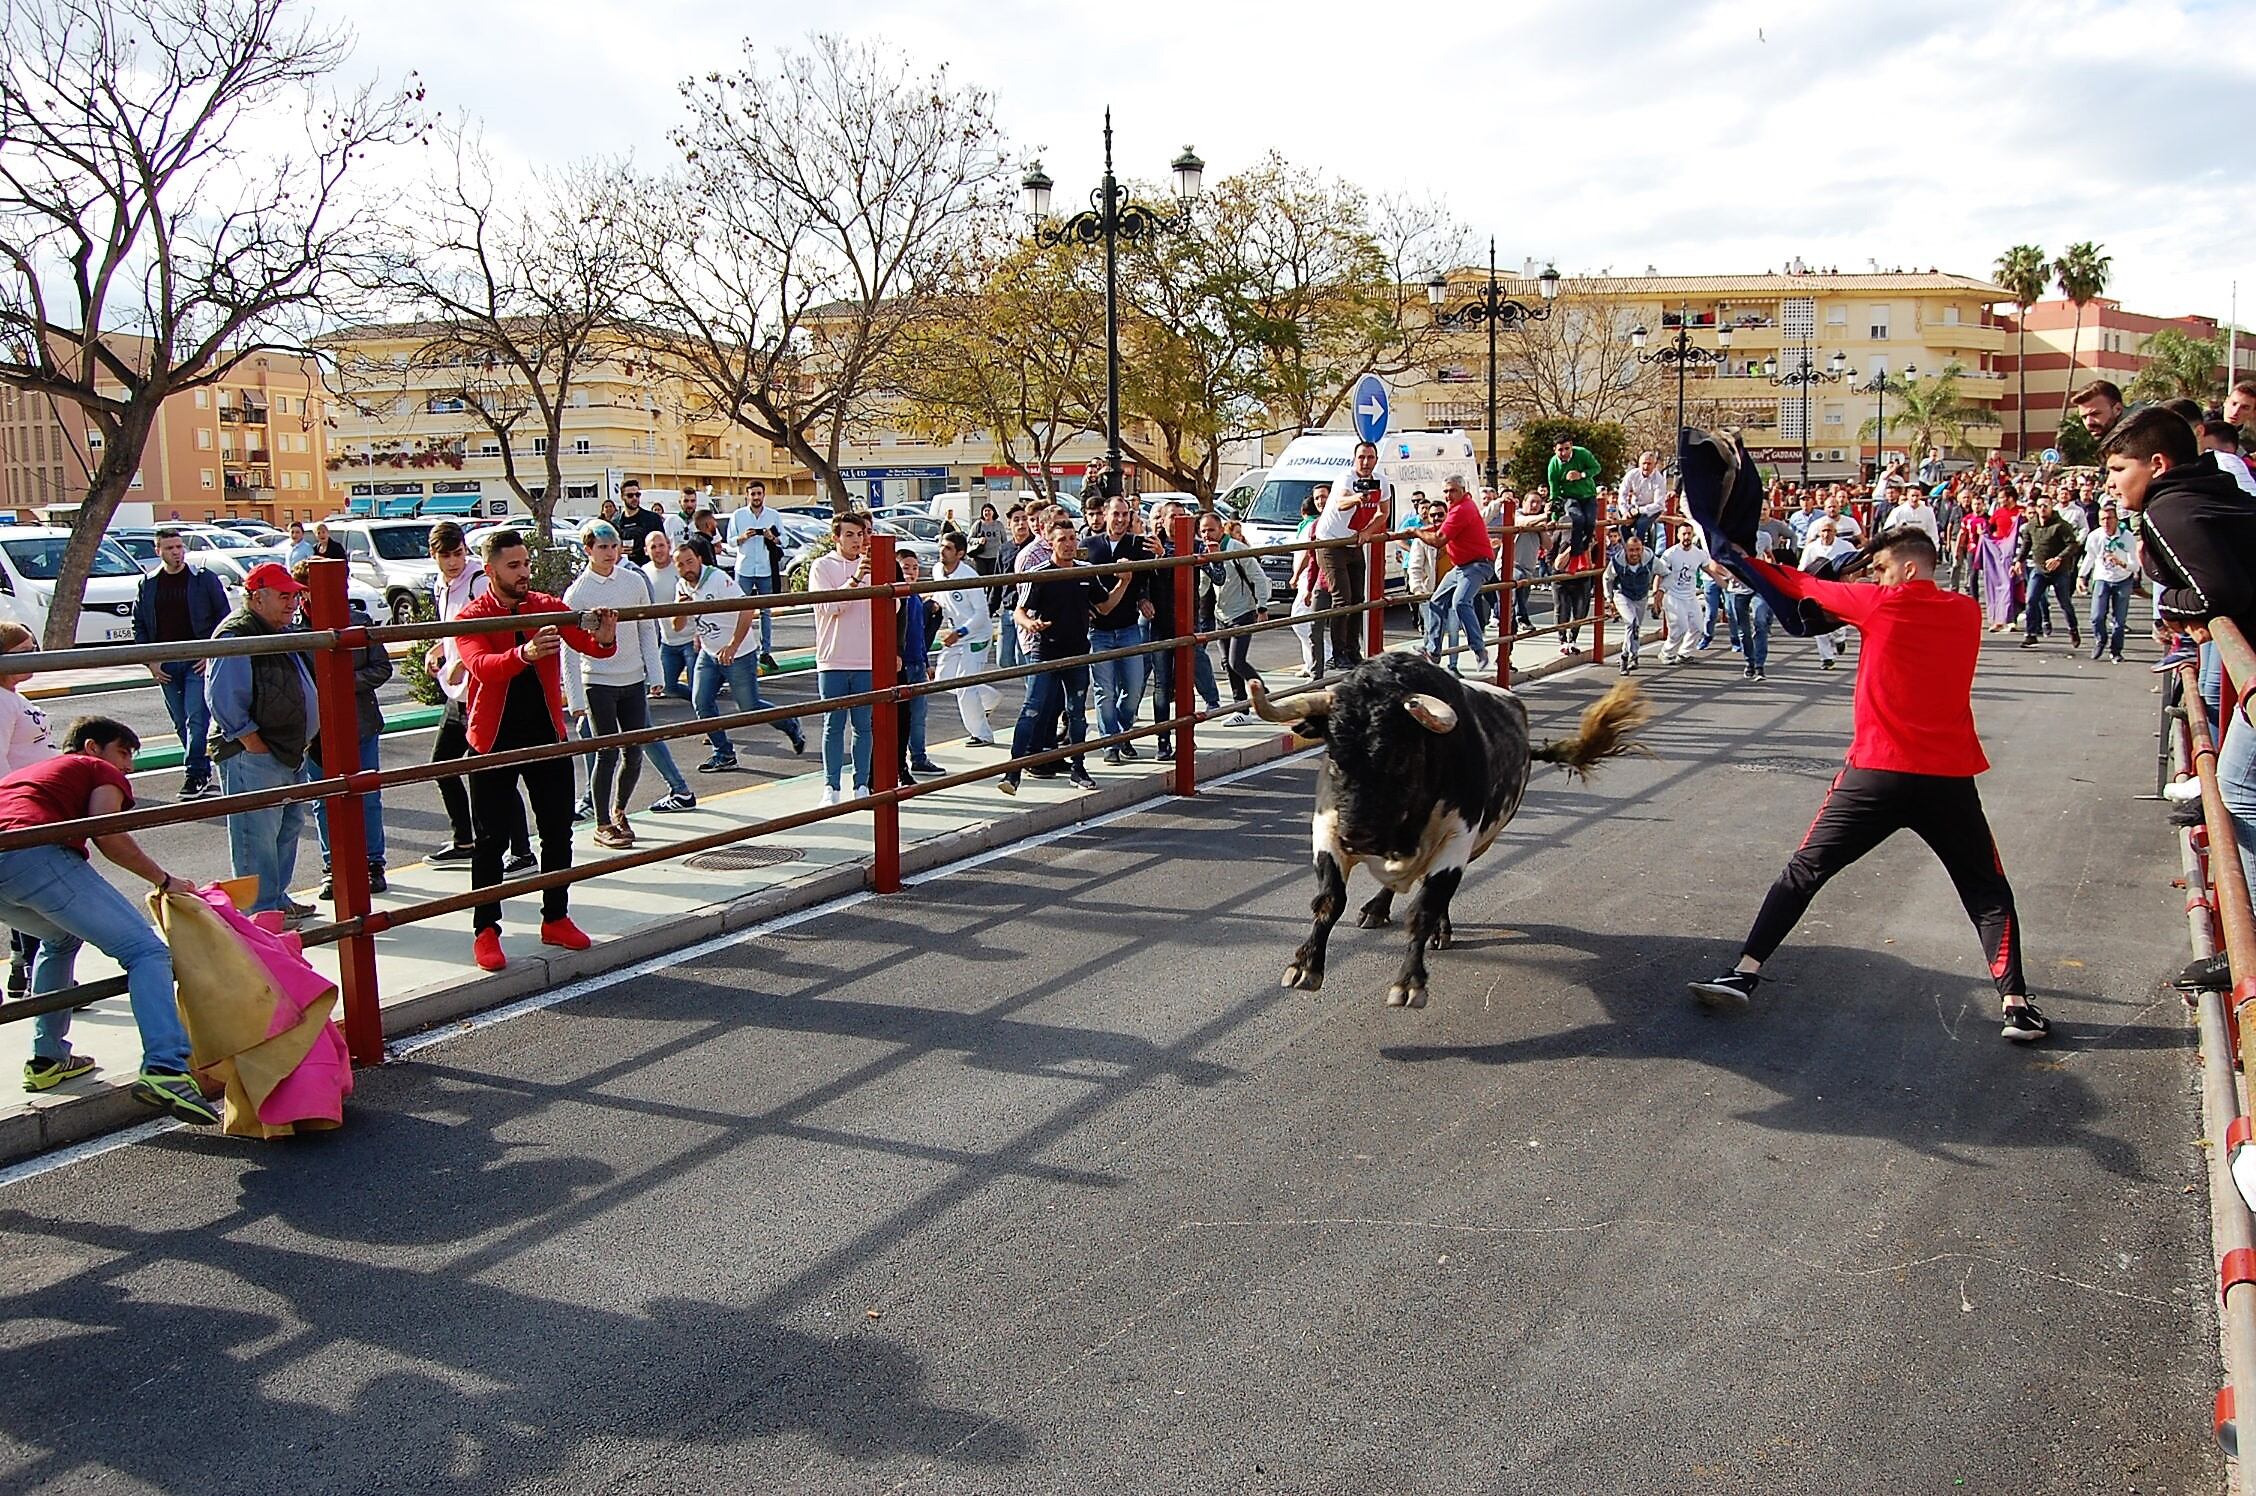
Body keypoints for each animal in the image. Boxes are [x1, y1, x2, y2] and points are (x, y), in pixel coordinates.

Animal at [1245, 654, 1651, 1006]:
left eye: (1398, 755)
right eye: (1334, 751)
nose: (1357, 835)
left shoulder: (1457, 840)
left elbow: (1424, 909)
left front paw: (1410, 983)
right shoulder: (1328, 827)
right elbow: (1330, 899)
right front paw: (1305, 966)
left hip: (1477, 845)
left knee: (1439, 898)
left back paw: (1439, 930)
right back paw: (1376, 909)